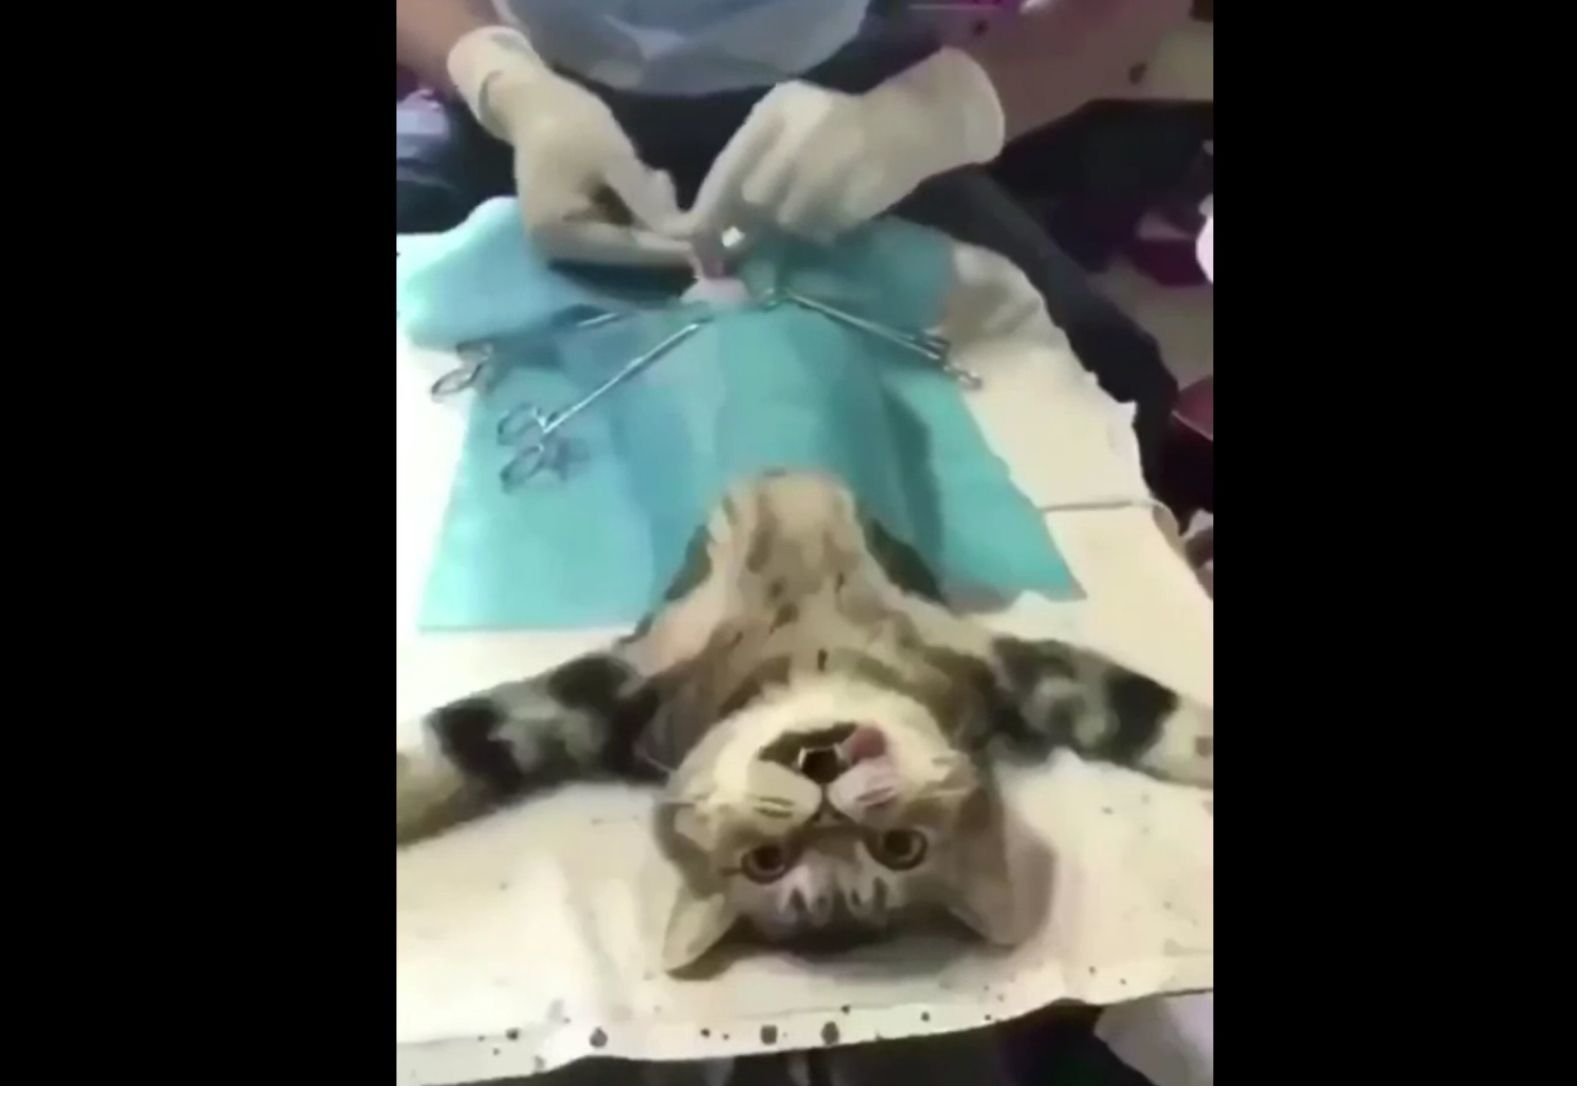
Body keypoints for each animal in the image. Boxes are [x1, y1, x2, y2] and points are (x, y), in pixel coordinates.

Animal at [397, 470, 1212, 972]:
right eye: (767, 861)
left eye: (900, 848)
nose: (826, 803)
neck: (814, 665)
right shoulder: (619, 692)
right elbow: (469, 741)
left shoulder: (1004, 669)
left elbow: (1135, 712)